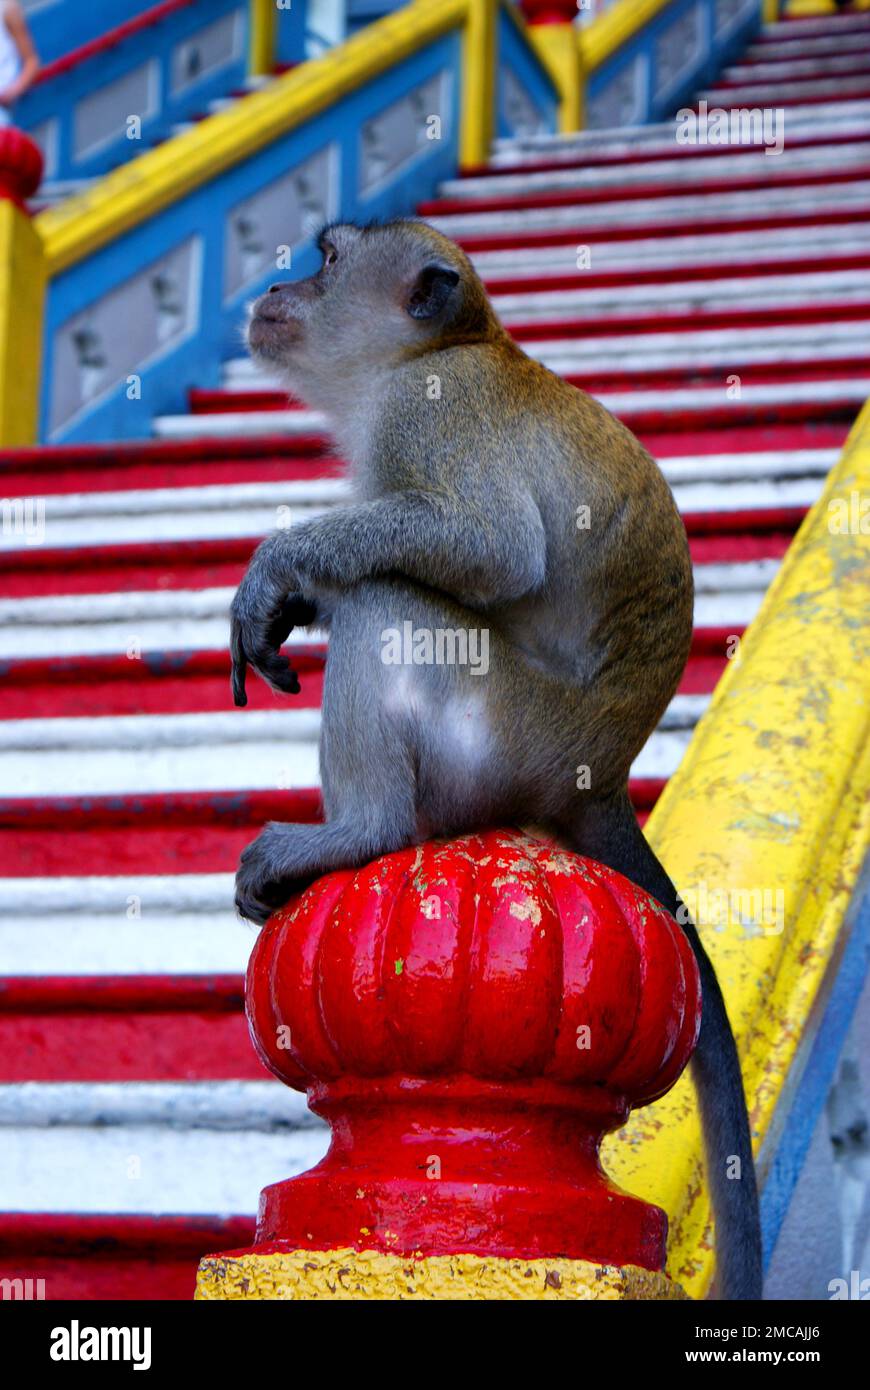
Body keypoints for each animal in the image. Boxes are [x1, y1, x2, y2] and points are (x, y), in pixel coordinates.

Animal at [229, 219, 763, 1301]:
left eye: (329, 257)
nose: (275, 286)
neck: (448, 346)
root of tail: (599, 772)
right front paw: (293, 588)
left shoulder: (426, 412)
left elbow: (488, 546)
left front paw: (279, 568)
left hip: (501, 728)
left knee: (393, 598)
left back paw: (357, 833)